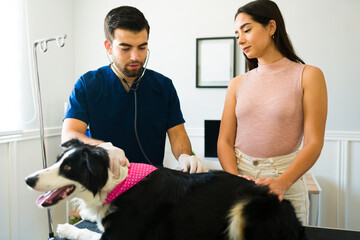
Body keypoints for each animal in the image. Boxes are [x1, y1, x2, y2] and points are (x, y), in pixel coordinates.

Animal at [25, 139, 306, 240]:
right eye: (57, 161)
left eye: (68, 168)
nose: (28, 179)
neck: (117, 184)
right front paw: (87, 215)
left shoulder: (121, 237)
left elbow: (86, 233)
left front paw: (65, 228)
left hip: (247, 207)